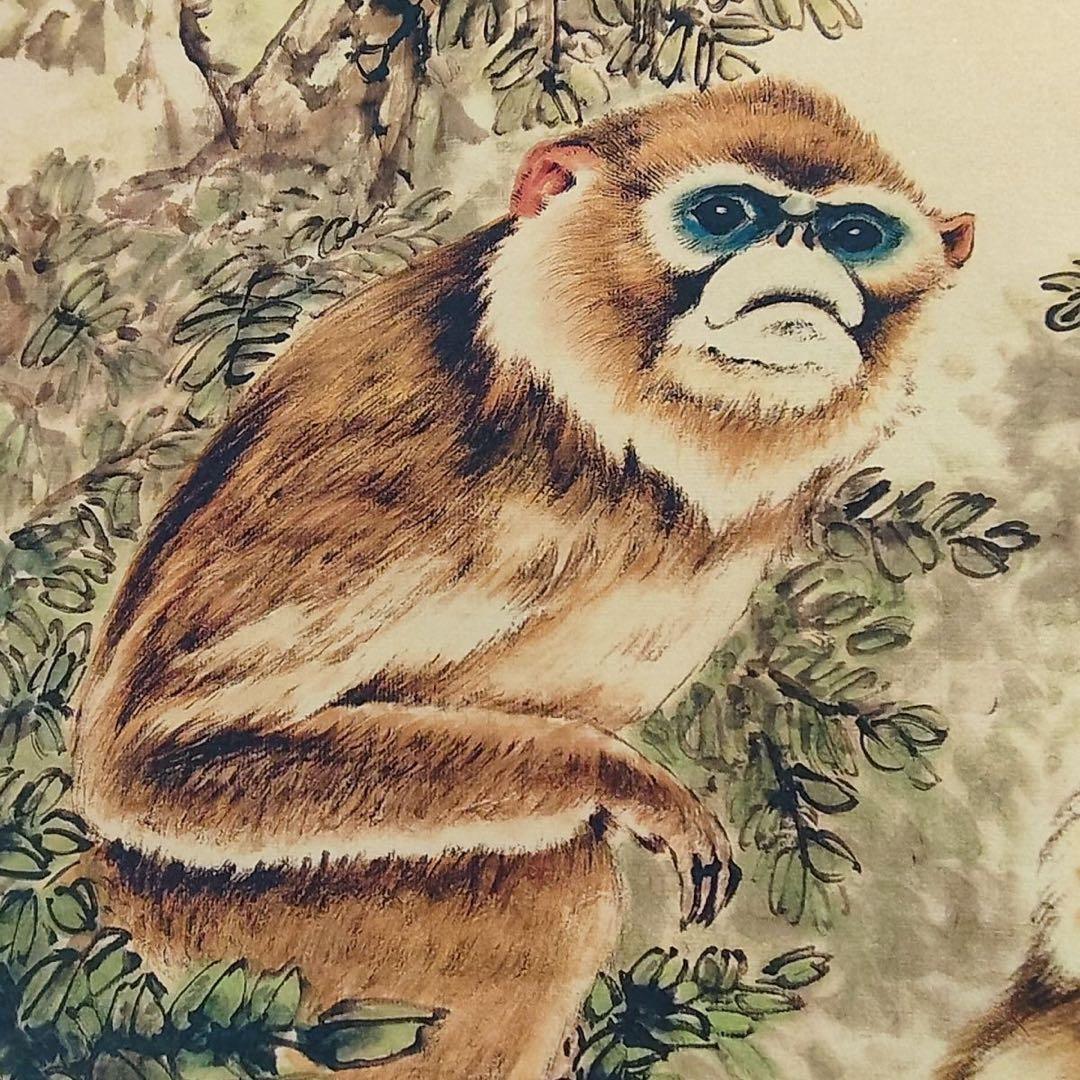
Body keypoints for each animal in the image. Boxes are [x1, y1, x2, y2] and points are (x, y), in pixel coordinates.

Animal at [71, 78, 974, 1079]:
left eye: (856, 232)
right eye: (724, 214)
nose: (802, 251)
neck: (603, 424)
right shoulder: (408, 465)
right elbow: (152, 758)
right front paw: (622, 779)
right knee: (555, 882)